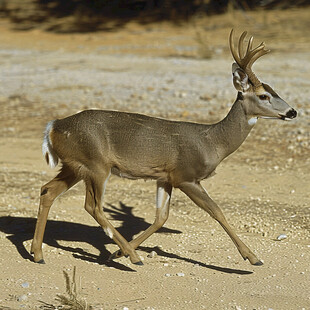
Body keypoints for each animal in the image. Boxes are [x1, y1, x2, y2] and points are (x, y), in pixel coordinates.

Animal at [31, 29, 298, 266]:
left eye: (274, 90)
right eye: (263, 95)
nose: (292, 112)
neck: (213, 142)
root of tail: (53, 126)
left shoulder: (164, 178)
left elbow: (161, 218)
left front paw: (115, 254)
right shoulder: (186, 176)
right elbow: (216, 211)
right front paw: (252, 257)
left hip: (75, 166)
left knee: (48, 191)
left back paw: (38, 254)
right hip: (96, 165)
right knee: (92, 205)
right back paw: (134, 257)